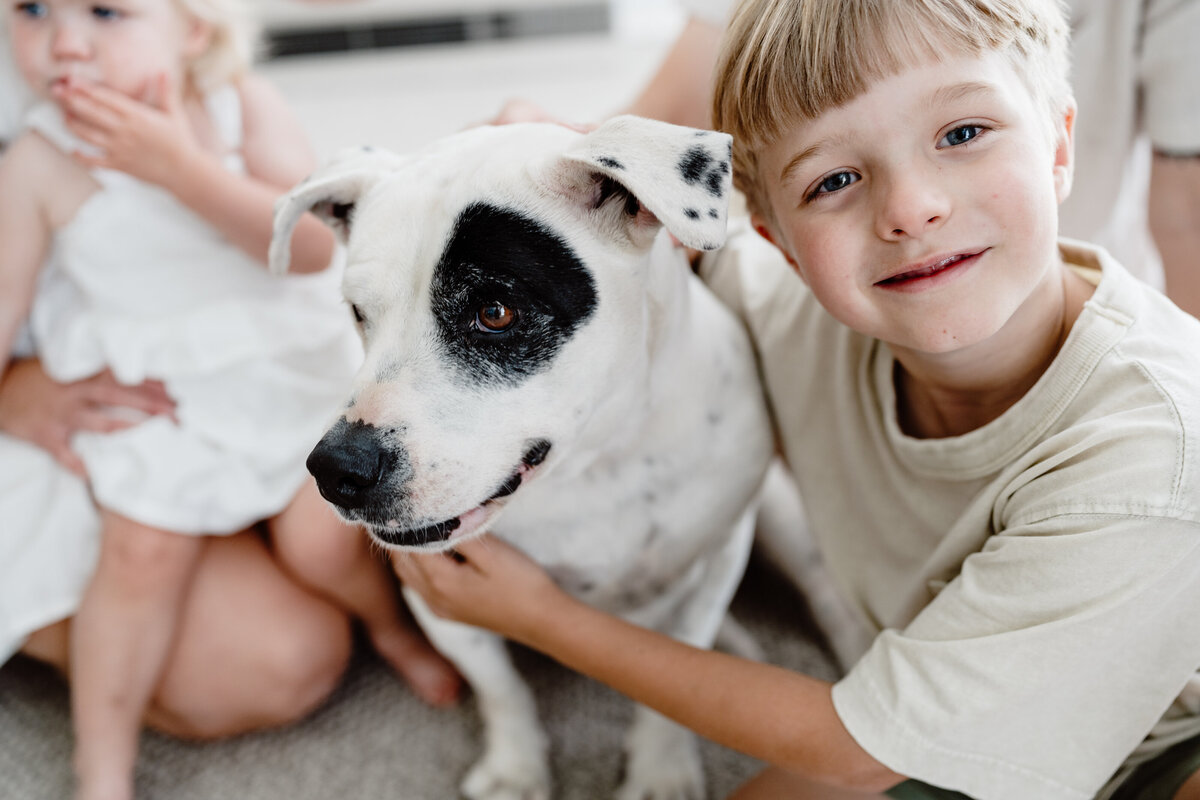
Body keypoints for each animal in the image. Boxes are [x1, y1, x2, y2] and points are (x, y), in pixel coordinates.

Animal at [267, 117, 772, 800]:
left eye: (495, 312)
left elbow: (680, 675)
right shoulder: (439, 599)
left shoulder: (719, 556)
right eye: (358, 313)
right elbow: (499, 687)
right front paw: (517, 769)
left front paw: (661, 770)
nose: (337, 469)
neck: (594, 462)